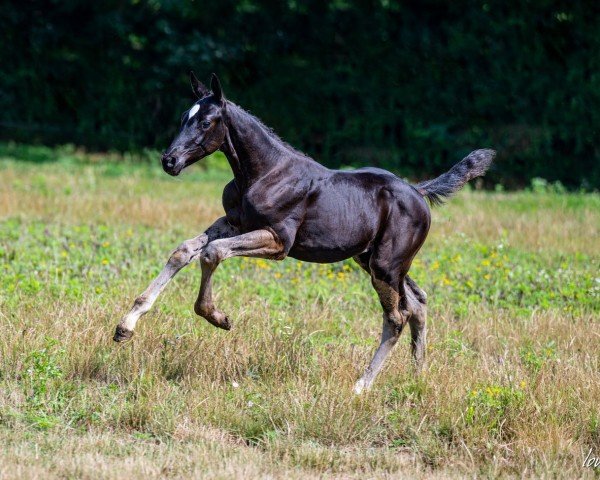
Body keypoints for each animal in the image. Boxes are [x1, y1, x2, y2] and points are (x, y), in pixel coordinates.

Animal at [112, 73, 492, 392]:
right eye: (182, 118)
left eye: (206, 122)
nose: (169, 161)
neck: (265, 173)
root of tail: (419, 191)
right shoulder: (234, 222)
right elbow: (185, 250)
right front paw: (125, 326)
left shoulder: (278, 240)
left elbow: (212, 252)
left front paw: (218, 317)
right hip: (375, 261)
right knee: (418, 303)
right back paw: (417, 375)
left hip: (386, 265)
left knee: (397, 316)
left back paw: (362, 385)